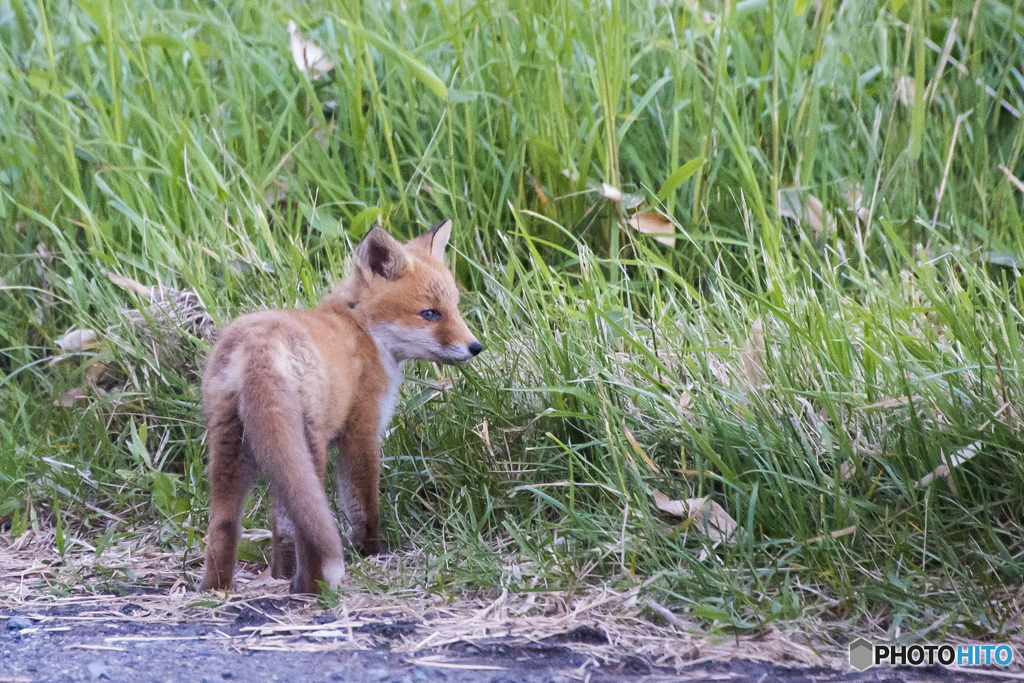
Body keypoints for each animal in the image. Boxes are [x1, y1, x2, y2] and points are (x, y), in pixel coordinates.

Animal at [202, 222, 483, 593]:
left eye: (454, 308)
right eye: (430, 314)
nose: (475, 346)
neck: (361, 328)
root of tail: (259, 347)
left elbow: (282, 526)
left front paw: (281, 574)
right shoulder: (361, 431)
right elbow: (363, 506)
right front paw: (371, 553)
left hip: (237, 449)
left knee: (225, 523)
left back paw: (218, 589)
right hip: (308, 446)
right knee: (307, 529)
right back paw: (314, 589)